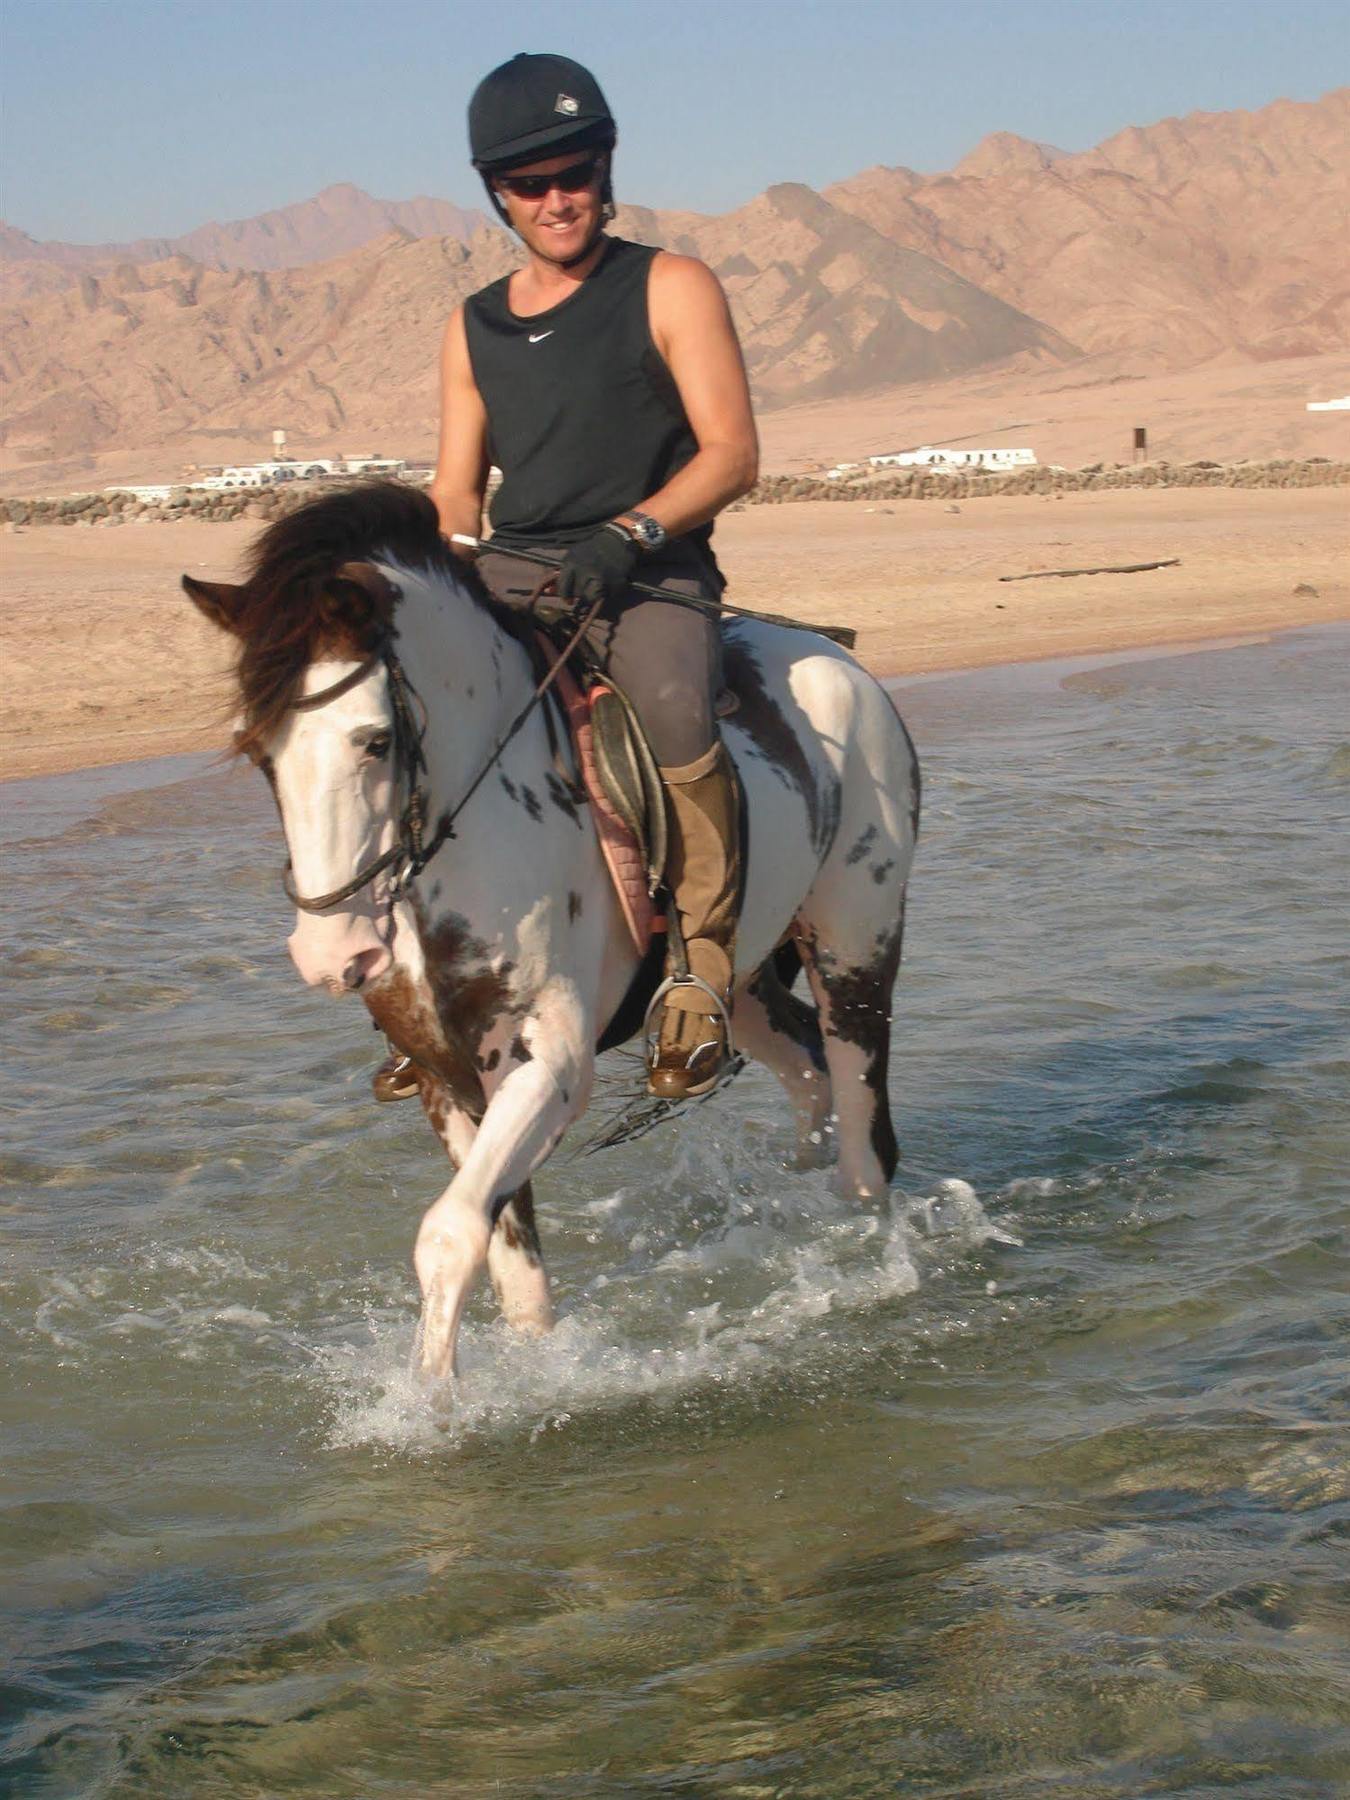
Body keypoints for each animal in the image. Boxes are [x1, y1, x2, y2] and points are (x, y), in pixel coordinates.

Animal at [185, 486, 928, 1382]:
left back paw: (867, 1267)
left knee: (864, 1141)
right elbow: (511, 1269)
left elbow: (448, 1235)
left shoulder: (548, 1062)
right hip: (742, 983)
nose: (332, 955)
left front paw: (431, 1401)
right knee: (808, 1075)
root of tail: (837, 664)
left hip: (857, 950)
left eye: (374, 740)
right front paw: (523, 1373)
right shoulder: (444, 1076)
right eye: (257, 752)